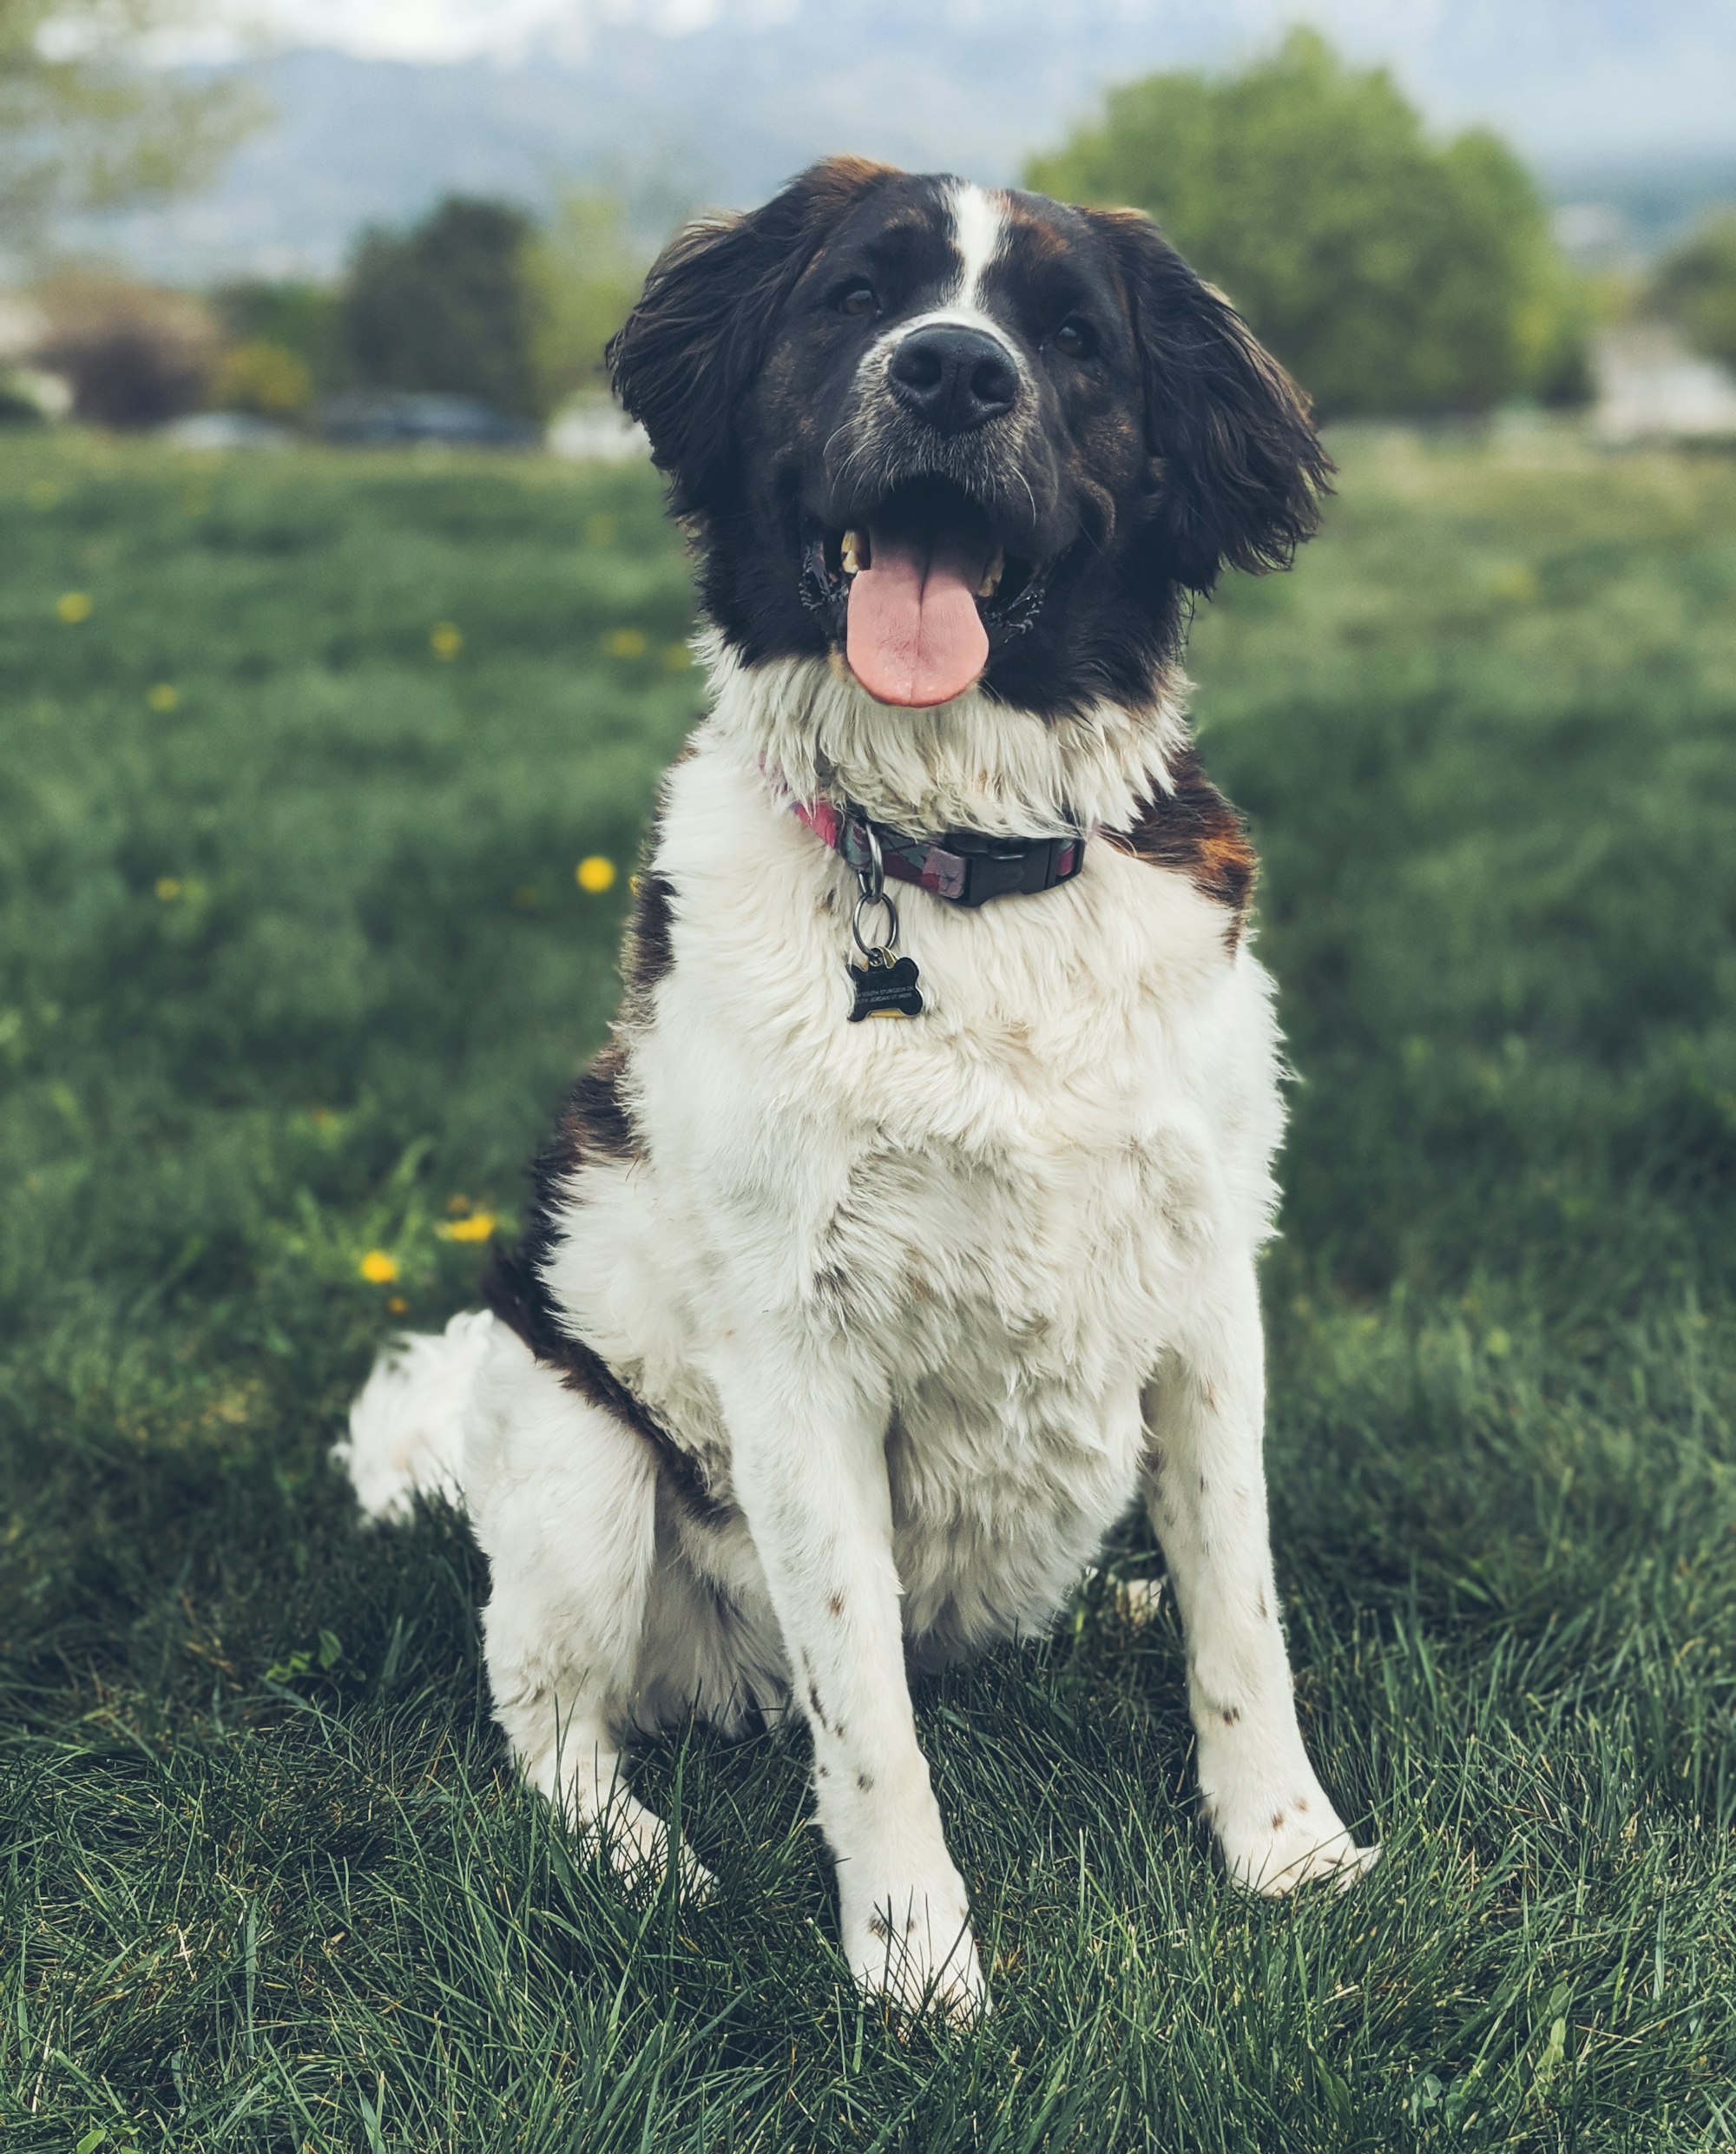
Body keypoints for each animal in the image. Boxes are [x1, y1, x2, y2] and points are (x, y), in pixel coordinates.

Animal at [340, 155, 1378, 2016]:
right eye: (859, 297)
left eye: (1069, 335)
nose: (953, 373)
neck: (963, 864)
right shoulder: (796, 1355)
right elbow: (866, 1710)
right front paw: (915, 1966)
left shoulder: (1207, 1291)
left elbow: (1241, 1611)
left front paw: (1288, 1851)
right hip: (580, 1459)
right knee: (550, 1720)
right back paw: (639, 1855)